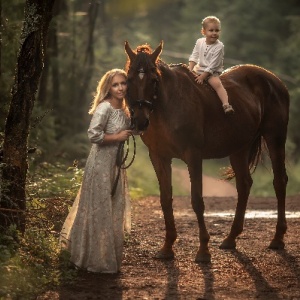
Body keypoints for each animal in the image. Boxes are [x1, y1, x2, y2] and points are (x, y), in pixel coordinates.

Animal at [123, 41, 290, 262]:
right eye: (129, 79)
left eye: (154, 79)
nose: (140, 121)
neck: (170, 105)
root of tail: (275, 81)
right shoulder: (159, 157)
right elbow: (165, 199)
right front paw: (167, 248)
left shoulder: (193, 156)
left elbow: (197, 201)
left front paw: (203, 250)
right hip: (239, 148)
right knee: (244, 184)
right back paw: (231, 238)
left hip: (275, 139)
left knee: (279, 182)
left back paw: (277, 239)